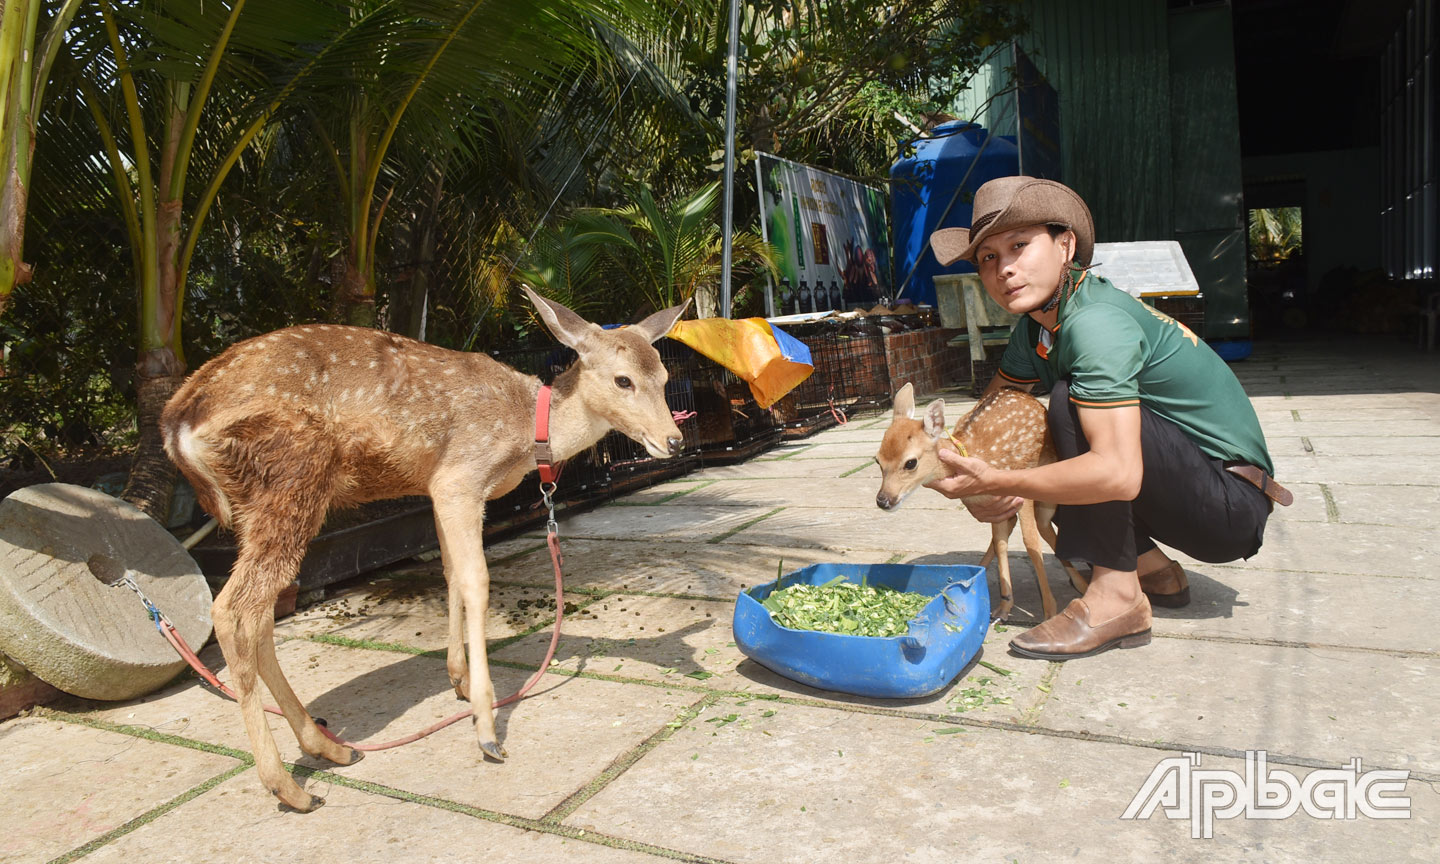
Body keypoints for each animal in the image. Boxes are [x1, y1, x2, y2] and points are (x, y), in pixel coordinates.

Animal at [160, 290, 688, 812]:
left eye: (664, 376)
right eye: (623, 379)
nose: (675, 440)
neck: (527, 431)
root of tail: (177, 427)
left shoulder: (435, 487)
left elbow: (450, 573)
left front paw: (458, 680)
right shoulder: (461, 476)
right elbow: (476, 581)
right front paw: (487, 730)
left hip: (256, 505)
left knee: (260, 615)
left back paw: (330, 747)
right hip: (290, 477)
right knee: (231, 609)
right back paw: (288, 787)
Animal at [869, 385, 1082, 622]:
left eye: (910, 462)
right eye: (877, 460)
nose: (883, 500)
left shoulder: (1022, 489)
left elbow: (1031, 544)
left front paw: (1050, 612)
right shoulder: (996, 504)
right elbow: (1000, 543)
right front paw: (1004, 607)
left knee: (1044, 527)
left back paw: (1080, 585)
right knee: (1019, 529)